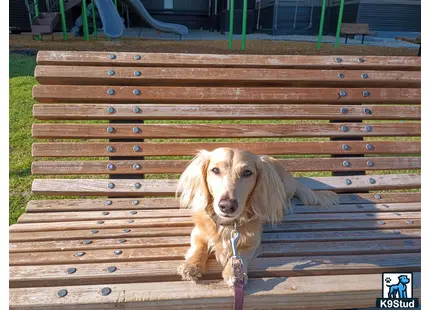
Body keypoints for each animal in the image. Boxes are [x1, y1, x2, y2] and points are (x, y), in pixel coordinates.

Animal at [176, 148, 338, 286]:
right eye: (215, 170)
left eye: (247, 173)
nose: (227, 206)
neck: (229, 224)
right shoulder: (198, 233)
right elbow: (199, 246)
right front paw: (192, 265)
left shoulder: (252, 242)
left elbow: (240, 254)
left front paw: (233, 272)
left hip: (285, 187)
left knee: (285, 197)